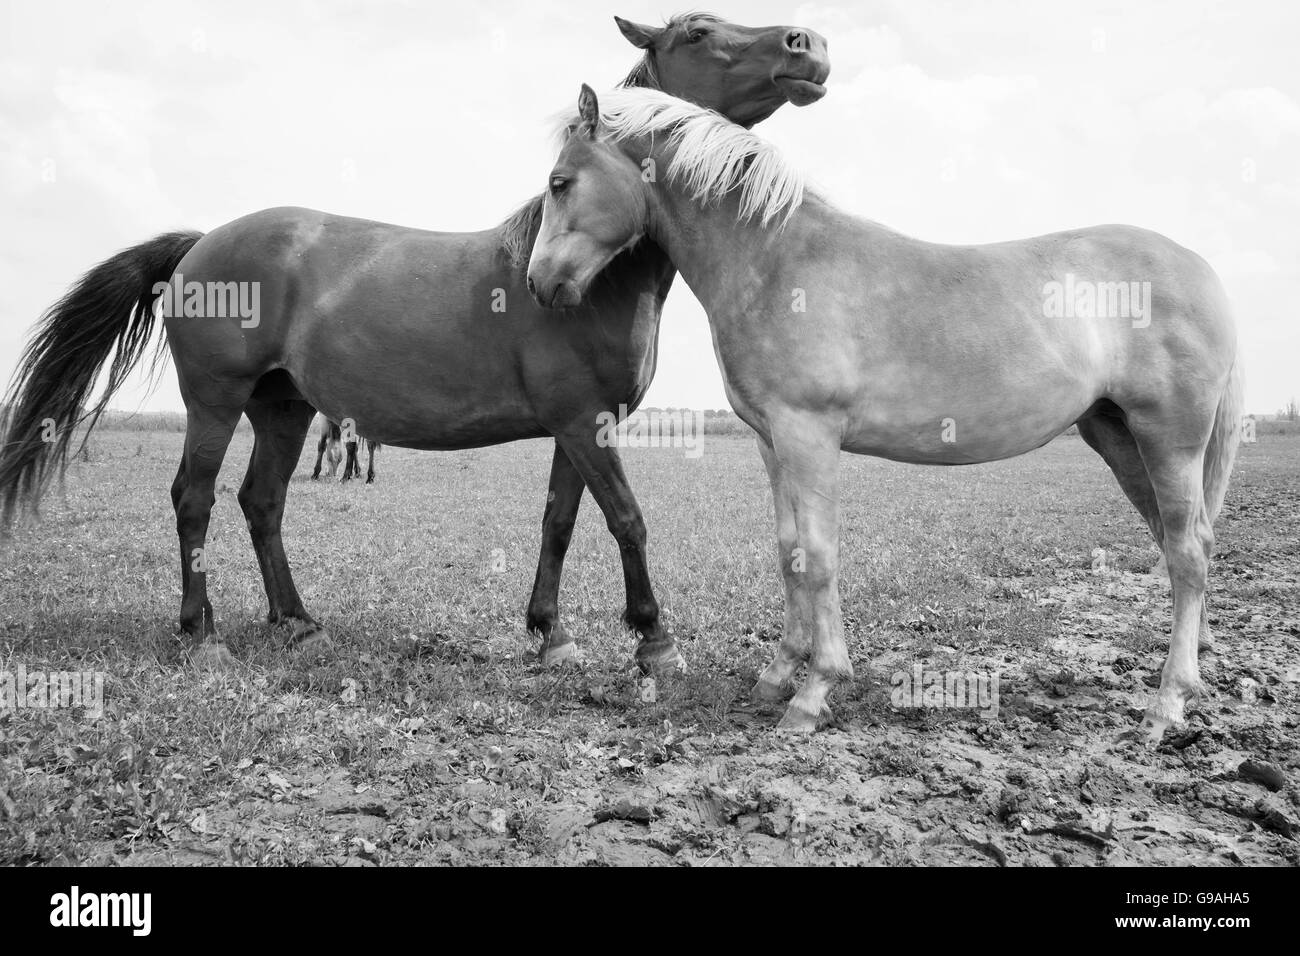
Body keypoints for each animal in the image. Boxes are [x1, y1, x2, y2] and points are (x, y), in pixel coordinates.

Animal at [0, 14, 830, 669]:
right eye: (697, 31)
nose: (810, 45)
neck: (586, 274)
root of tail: (201, 243)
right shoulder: (583, 422)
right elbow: (626, 517)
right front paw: (654, 639)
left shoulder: (578, 426)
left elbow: (561, 521)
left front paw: (551, 634)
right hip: (214, 400)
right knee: (193, 498)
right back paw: (200, 635)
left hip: (283, 409)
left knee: (261, 501)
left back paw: (295, 621)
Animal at [525, 86, 1243, 744]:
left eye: (561, 183)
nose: (538, 284)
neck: (775, 260)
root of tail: (1202, 270)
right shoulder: (771, 441)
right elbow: (788, 551)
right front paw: (777, 674)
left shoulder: (809, 433)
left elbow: (819, 556)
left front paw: (814, 692)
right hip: (1117, 437)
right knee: (1175, 540)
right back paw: (1195, 667)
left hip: (1168, 440)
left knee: (1188, 552)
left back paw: (1167, 704)